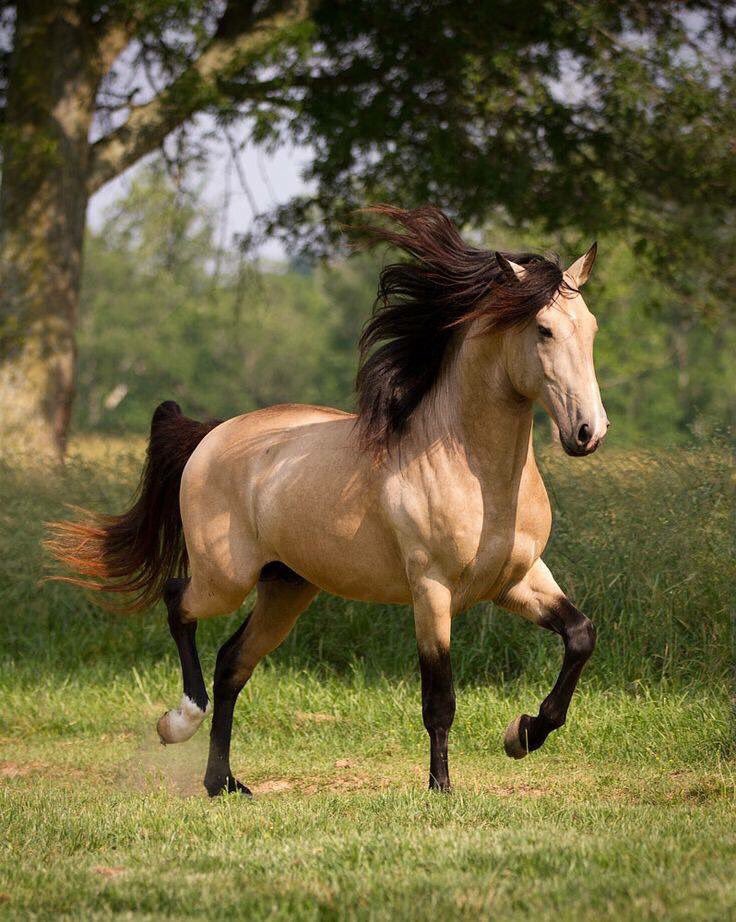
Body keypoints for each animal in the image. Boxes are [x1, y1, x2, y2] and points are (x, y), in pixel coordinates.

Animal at [47, 205, 608, 796]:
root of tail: (211, 436)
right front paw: (441, 788)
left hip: (285, 588)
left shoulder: (517, 580)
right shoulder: (431, 591)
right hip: (226, 578)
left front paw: (523, 734)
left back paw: (223, 782)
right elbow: (439, 700)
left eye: (591, 326)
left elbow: (580, 636)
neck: (473, 470)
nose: (588, 432)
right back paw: (178, 722)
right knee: (178, 601)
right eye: (543, 330)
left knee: (231, 664)